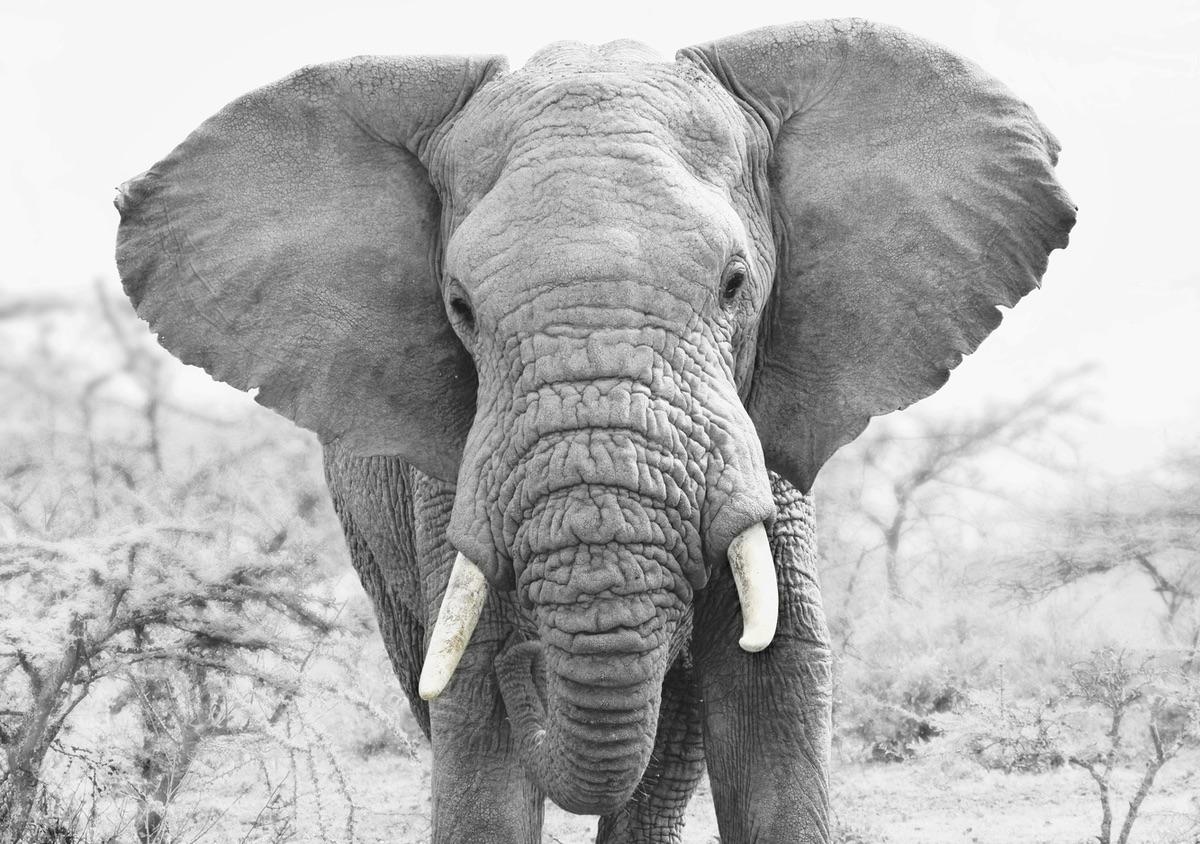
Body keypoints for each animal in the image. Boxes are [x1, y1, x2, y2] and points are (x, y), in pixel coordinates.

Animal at [113, 18, 1074, 844]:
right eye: (460, 307)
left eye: (735, 284)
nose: (531, 664)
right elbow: (476, 725)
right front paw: (501, 677)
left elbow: (773, 686)